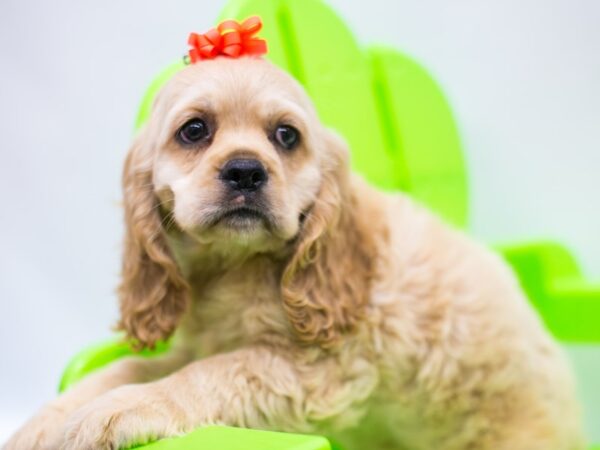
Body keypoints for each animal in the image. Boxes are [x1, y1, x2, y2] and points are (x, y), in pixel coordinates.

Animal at [4, 57, 584, 450]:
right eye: (195, 130)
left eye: (286, 136)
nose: (245, 171)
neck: (234, 266)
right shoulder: (203, 342)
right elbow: (124, 367)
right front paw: (44, 420)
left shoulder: (316, 370)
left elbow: (208, 374)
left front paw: (119, 410)